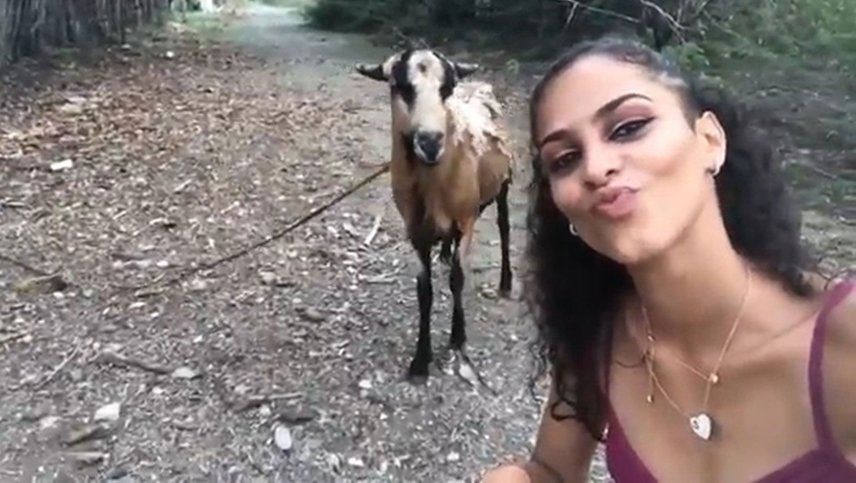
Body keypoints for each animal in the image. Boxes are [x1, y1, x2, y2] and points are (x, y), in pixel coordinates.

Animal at [355, 48, 513, 383]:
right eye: (400, 86)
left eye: (447, 88)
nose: (429, 142)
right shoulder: (415, 232)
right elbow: (423, 290)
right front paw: (420, 360)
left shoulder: (465, 222)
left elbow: (457, 278)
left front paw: (457, 338)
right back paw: (444, 253)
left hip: (503, 181)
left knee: (504, 228)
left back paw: (506, 282)